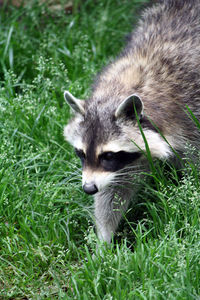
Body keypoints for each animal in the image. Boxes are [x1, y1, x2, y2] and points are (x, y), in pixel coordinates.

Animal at [63, 0, 200, 243]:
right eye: (81, 153)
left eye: (108, 155)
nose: (88, 188)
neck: (122, 88)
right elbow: (114, 190)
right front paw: (103, 240)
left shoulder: (192, 117)